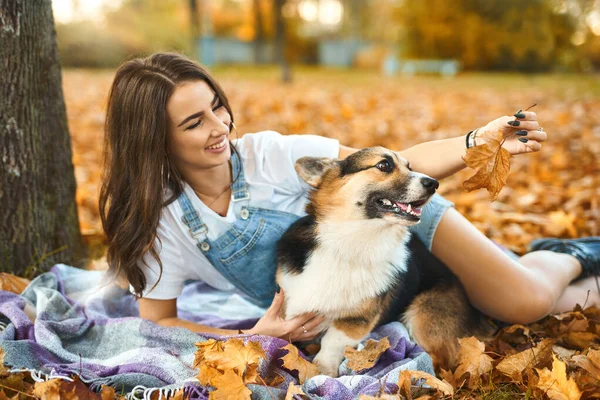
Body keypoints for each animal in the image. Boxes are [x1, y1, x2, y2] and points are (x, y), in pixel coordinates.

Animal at [276, 145, 492, 376]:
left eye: (410, 167)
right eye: (384, 165)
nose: (433, 183)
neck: (352, 243)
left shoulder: (355, 322)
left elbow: (330, 346)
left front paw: (322, 374)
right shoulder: (289, 302)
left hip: (422, 315)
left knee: (436, 362)